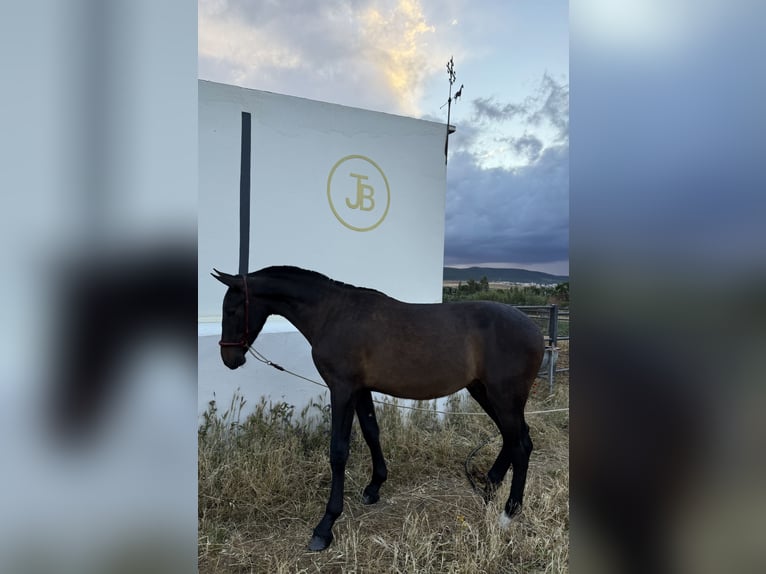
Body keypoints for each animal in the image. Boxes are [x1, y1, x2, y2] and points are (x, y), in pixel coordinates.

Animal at [212, 266, 545, 552]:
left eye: (231, 310)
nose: (230, 359)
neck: (332, 314)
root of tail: (534, 329)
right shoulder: (360, 390)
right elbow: (372, 432)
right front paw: (374, 486)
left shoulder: (342, 389)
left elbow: (339, 451)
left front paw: (325, 526)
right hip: (484, 392)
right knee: (514, 437)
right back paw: (490, 486)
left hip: (503, 396)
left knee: (521, 444)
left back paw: (508, 512)